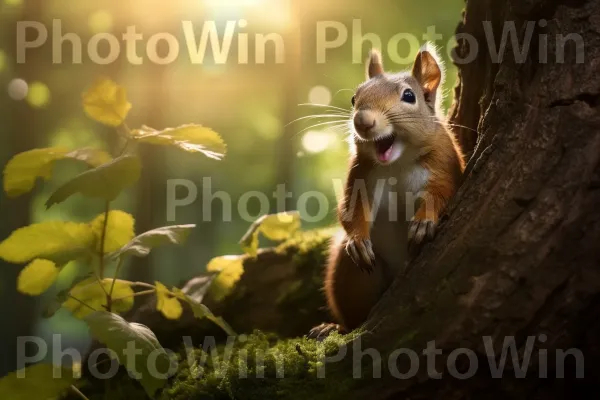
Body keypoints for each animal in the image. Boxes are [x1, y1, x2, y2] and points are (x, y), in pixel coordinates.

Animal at [312, 43, 466, 340]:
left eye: (409, 96)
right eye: (354, 98)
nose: (362, 121)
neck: (398, 162)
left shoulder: (443, 165)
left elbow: (441, 194)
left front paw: (423, 222)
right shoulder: (360, 174)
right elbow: (350, 209)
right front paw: (358, 240)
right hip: (351, 275)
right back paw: (334, 326)